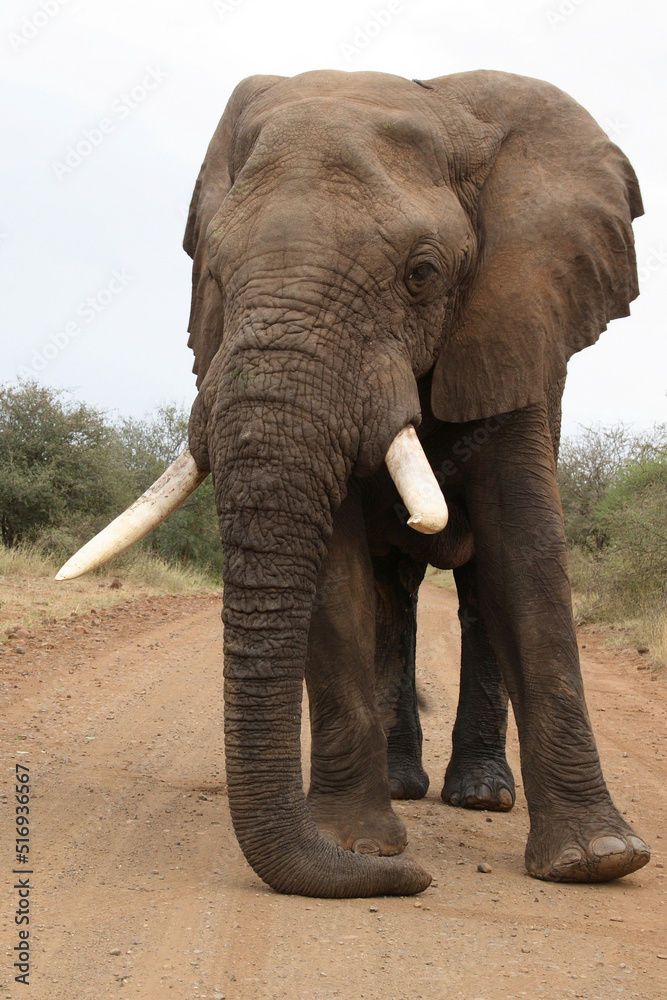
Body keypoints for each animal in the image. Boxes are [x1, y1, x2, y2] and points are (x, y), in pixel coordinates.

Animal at [57, 68, 650, 898]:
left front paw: (597, 861)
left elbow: (525, 555)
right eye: (213, 275)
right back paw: (403, 786)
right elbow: (336, 582)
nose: (419, 881)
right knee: (392, 599)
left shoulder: (513, 332)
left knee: (473, 595)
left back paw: (481, 797)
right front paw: (359, 846)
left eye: (422, 274)